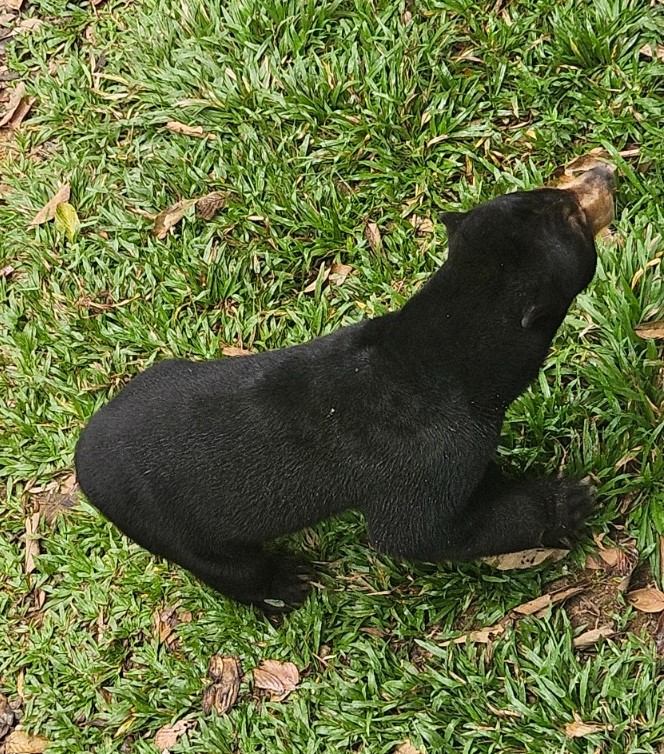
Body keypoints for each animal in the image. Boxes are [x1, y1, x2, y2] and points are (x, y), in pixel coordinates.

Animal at [75, 164, 615, 612]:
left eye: (550, 193)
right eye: (570, 216)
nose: (604, 172)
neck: (441, 356)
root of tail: (80, 460)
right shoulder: (430, 458)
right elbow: (419, 534)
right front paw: (566, 502)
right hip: (170, 528)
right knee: (229, 569)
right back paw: (284, 583)